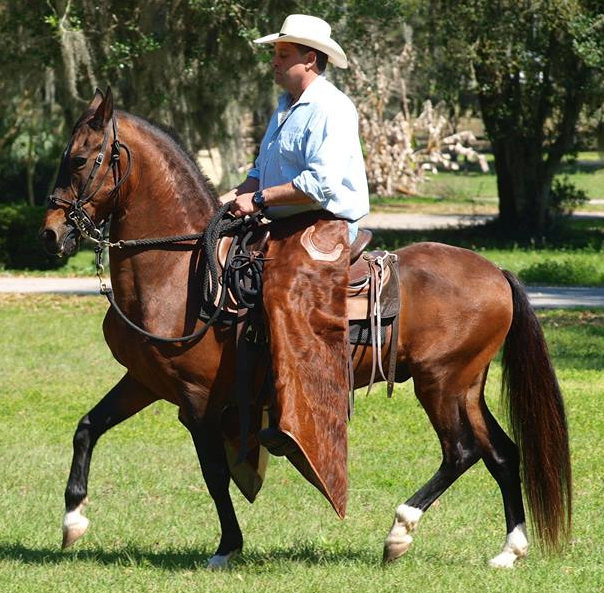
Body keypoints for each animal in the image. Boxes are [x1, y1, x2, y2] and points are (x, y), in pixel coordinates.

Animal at [39, 89, 572, 568]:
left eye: (80, 160)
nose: (50, 233)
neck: (182, 274)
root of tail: (496, 273)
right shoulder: (146, 381)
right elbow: (87, 427)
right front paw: (72, 520)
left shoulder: (198, 400)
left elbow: (214, 474)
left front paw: (227, 547)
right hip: (465, 386)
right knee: (501, 452)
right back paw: (509, 550)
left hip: (439, 383)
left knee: (461, 451)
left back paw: (399, 531)